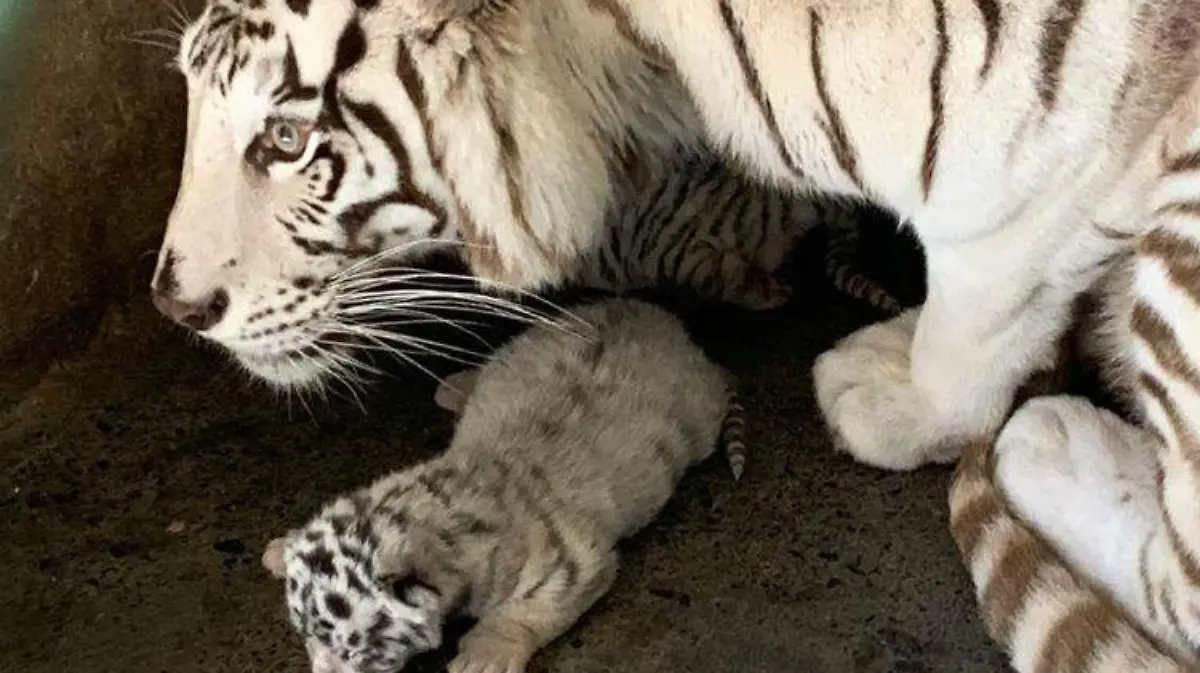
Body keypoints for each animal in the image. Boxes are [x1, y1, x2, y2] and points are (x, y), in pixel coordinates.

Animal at [152, 0, 1200, 667]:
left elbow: (979, 297)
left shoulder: (1044, 131)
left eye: (286, 141)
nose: (172, 304)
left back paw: (1050, 435)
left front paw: (898, 396)